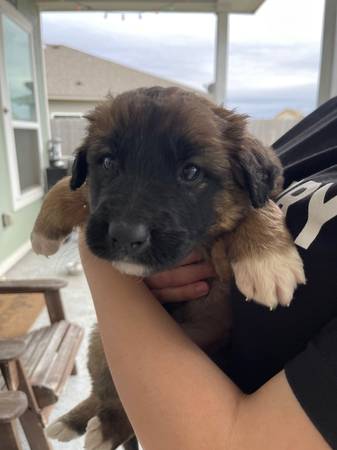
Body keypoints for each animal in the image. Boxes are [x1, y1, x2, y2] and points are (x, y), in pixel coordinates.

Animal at [32, 86, 304, 448]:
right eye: (108, 162)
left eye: (191, 172)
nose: (125, 235)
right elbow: (74, 186)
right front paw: (44, 228)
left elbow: (257, 206)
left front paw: (268, 259)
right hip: (100, 342)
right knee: (107, 393)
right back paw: (83, 422)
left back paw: (101, 429)